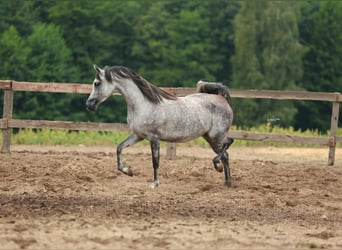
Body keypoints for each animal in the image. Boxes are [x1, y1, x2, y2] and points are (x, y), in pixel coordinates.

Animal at [87, 64, 234, 188]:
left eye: (97, 83)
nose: (89, 105)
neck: (144, 105)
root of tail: (221, 98)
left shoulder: (154, 138)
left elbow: (155, 161)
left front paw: (155, 184)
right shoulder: (137, 136)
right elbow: (119, 148)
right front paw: (129, 171)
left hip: (216, 136)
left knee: (229, 143)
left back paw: (217, 165)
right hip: (210, 138)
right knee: (226, 154)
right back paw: (226, 181)